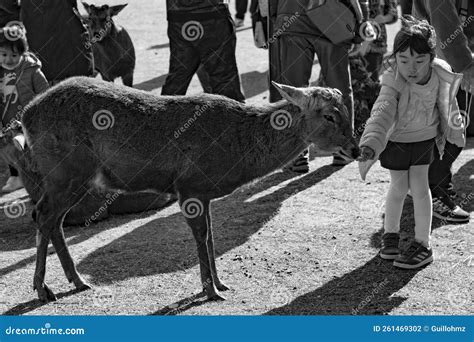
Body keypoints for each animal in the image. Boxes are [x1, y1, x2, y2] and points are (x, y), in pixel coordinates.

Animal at [20, 77, 358, 302]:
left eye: (347, 109)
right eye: (329, 115)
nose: (355, 149)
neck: (237, 149)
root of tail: (25, 115)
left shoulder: (204, 192)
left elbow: (211, 237)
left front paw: (221, 284)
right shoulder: (189, 186)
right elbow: (201, 237)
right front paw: (209, 291)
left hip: (73, 177)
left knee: (54, 221)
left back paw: (77, 282)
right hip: (66, 171)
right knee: (43, 215)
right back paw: (43, 289)